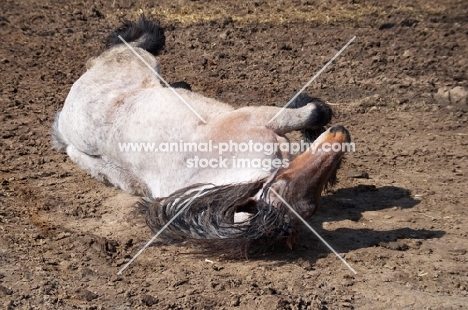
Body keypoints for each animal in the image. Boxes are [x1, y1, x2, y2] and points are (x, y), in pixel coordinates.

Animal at [52, 15, 352, 256]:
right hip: (138, 62)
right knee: (124, 47)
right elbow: (311, 113)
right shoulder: (257, 117)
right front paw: (315, 114)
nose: (342, 134)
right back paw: (149, 34)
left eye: (312, 208)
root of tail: (65, 121)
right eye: (285, 178)